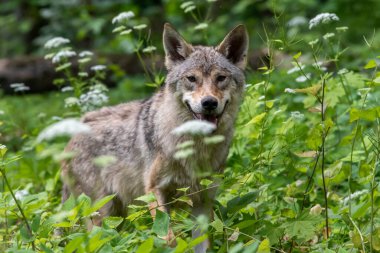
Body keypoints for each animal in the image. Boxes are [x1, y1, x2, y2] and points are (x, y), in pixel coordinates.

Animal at [60, 22, 248, 252]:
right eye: (191, 79)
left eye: (220, 78)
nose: (209, 103)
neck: (194, 147)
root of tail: (71, 137)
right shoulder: (154, 191)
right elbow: (168, 237)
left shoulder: (203, 201)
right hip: (102, 216)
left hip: (117, 217)